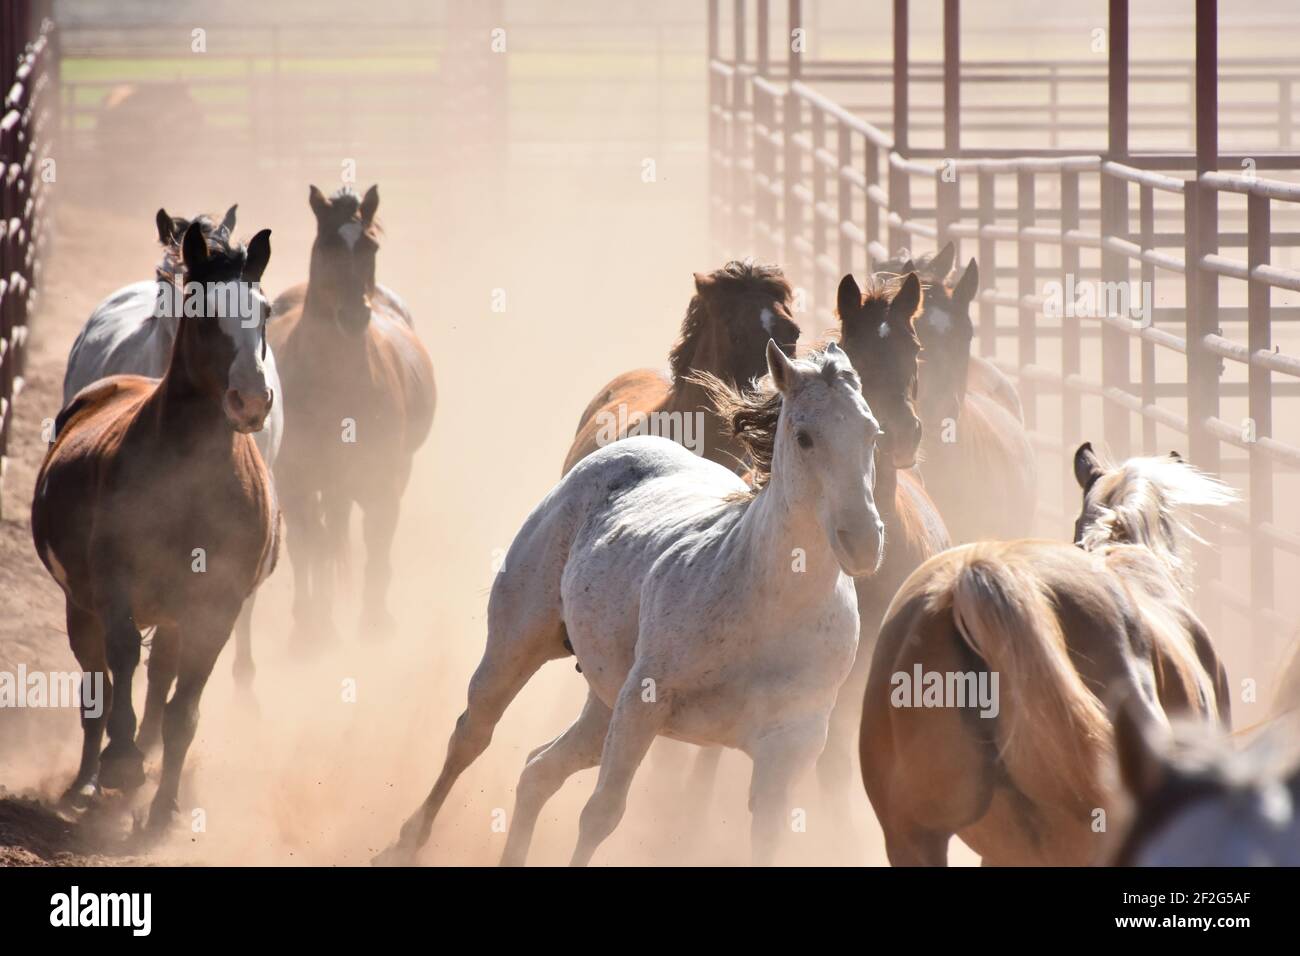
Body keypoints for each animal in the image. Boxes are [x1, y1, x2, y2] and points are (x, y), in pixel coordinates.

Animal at [268, 184, 435, 643]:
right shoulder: (296, 482)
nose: (354, 315)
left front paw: (374, 624)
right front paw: (311, 628)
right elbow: (309, 548)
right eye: (325, 245)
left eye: (371, 246)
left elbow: (376, 545)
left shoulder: (381, 480)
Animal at [377, 342, 884, 866]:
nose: (863, 542)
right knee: (472, 733)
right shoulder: (644, 705)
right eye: (805, 437)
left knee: (539, 769)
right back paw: (404, 843)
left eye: (872, 433)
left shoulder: (789, 747)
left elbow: (766, 841)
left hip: (603, 705)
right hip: (519, 645)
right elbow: (601, 814)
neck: (769, 605)